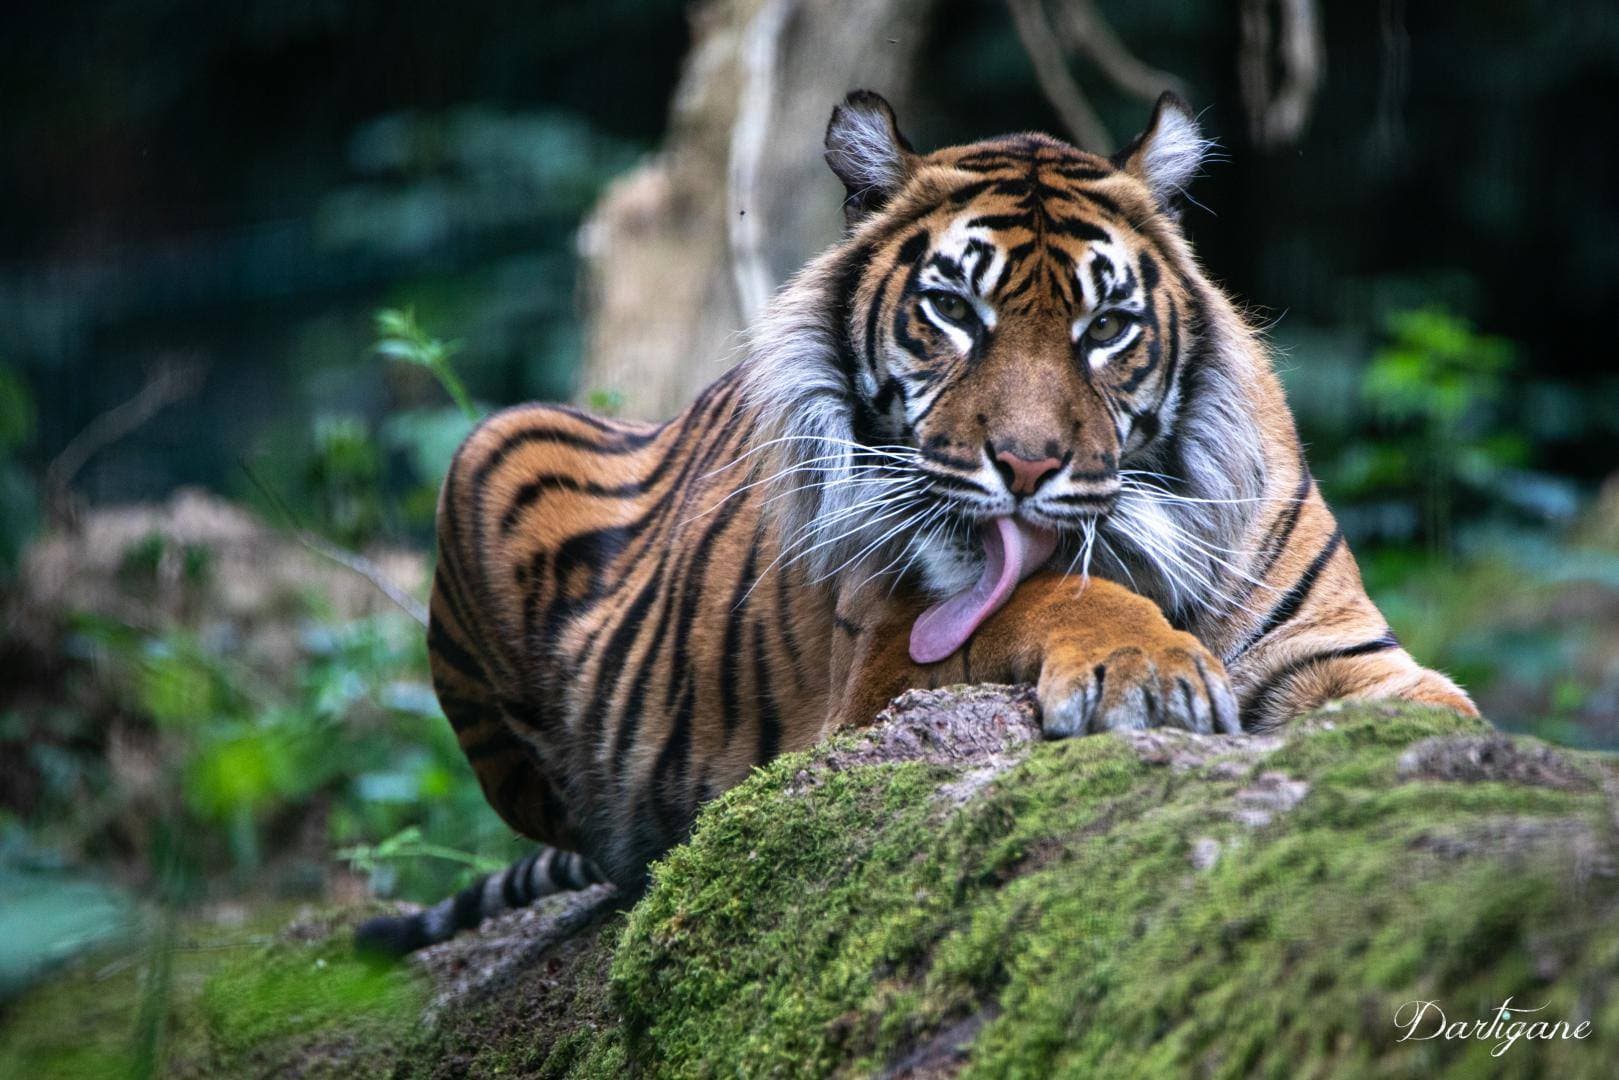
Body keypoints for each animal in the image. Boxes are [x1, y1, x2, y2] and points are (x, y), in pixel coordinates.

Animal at [356, 90, 1475, 956]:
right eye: (952, 311)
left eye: (1106, 327)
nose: (1026, 465)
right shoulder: (883, 666)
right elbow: (1047, 592)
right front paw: (1147, 670)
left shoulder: (1336, 651)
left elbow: (1433, 725)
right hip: (490, 449)